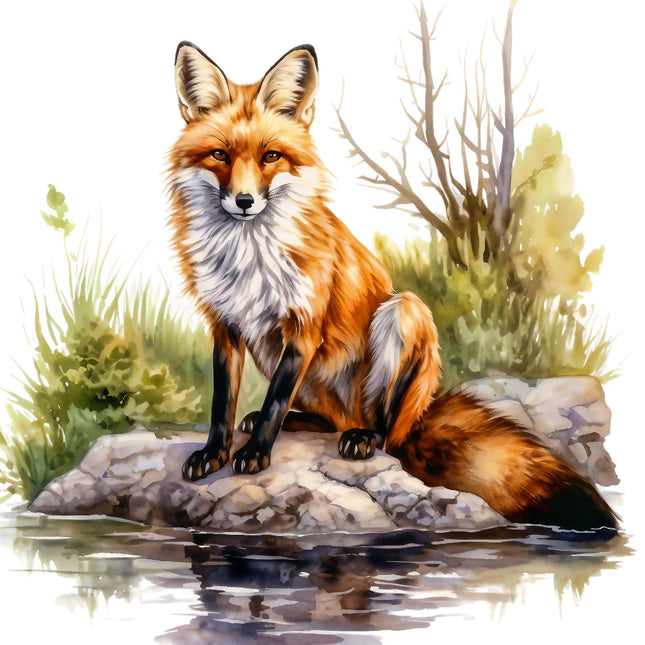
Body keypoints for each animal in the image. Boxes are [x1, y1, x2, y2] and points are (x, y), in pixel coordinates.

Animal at [166, 41, 618, 532]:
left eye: (270, 156)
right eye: (219, 155)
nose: (245, 201)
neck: (247, 254)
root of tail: (421, 413)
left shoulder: (304, 326)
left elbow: (273, 404)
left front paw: (254, 454)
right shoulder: (225, 324)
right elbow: (222, 405)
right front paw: (214, 453)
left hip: (404, 311)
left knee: (384, 433)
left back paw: (365, 436)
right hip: (278, 352)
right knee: (328, 419)